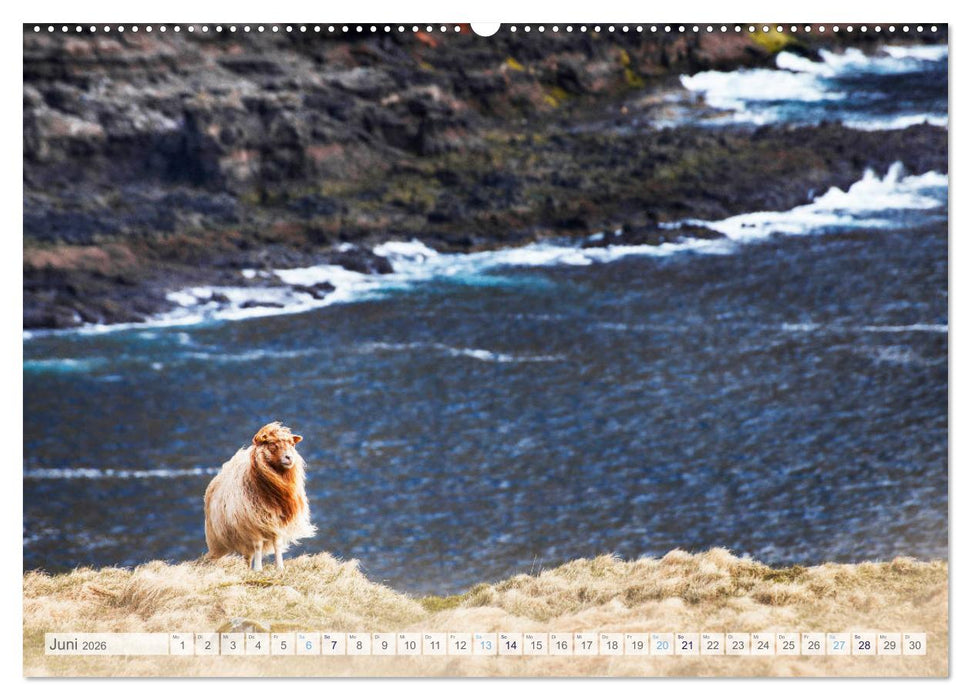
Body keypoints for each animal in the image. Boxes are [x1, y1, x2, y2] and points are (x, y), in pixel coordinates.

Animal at [204, 422, 316, 571]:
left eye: (292, 444)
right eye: (272, 444)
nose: (289, 457)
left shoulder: (277, 522)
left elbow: (277, 544)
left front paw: (279, 567)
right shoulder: (252, 523)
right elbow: (258, 545)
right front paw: (258, 569)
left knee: (247, 555)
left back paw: (246, 568)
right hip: (216, 539)